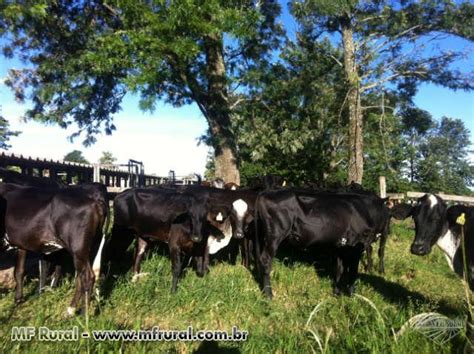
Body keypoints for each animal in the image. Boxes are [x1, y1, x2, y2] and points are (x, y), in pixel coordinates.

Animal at [0, 183, 108, 316]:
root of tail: (96, 199)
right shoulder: (22, 243)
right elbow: (19, 271)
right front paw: (18, 299)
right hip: (91, 246)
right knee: (80, 278)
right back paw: (70, 310)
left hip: (78, 248)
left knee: (87, 277)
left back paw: (84, 315)